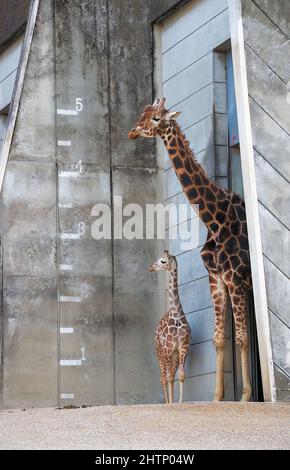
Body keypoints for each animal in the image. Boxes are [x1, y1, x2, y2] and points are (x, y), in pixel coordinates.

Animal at [150, 250, 193, 404]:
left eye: (162, 261)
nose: (151, 267)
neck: (176, 315)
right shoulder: (167, 349)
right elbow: (168, 378)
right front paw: (171, 403)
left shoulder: (183, 347)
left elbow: (181, 374)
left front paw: (179, 402)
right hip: (159, 352)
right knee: (163, 377)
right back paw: (167, 401)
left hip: (173, 355)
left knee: (171, 375)